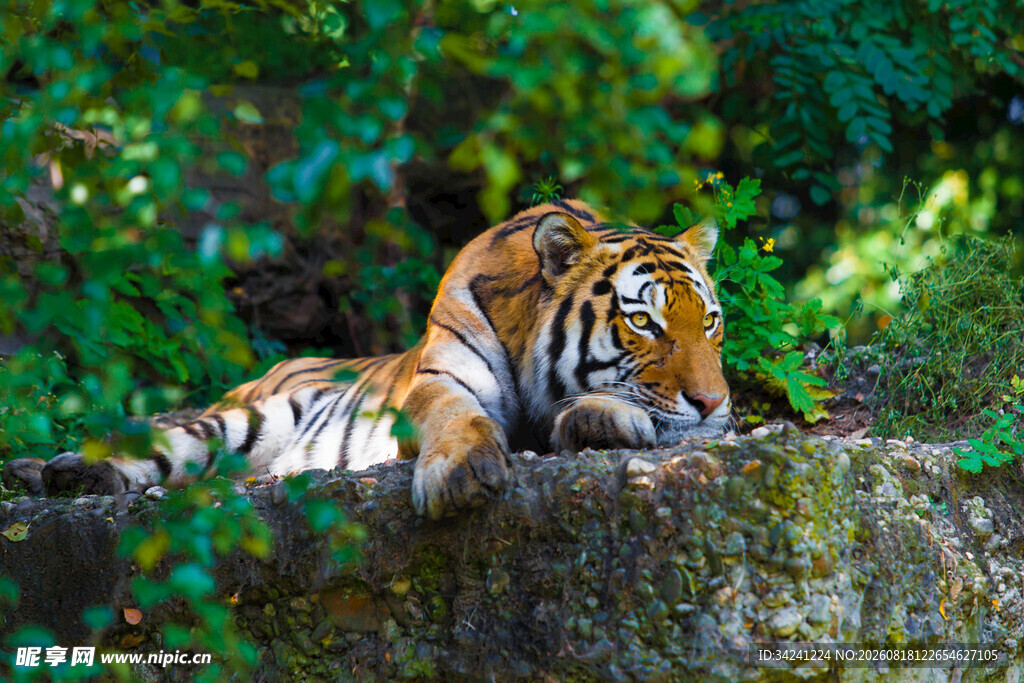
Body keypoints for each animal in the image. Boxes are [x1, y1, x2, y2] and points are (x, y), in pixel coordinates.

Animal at [3, 200, 731, 519]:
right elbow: (458, 418)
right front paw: (462, 474)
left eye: (710, 322)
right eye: (643, 321)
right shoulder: (437, 383)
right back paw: (67, 472)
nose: (714, 403)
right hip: (248, 417)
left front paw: (608, 420)